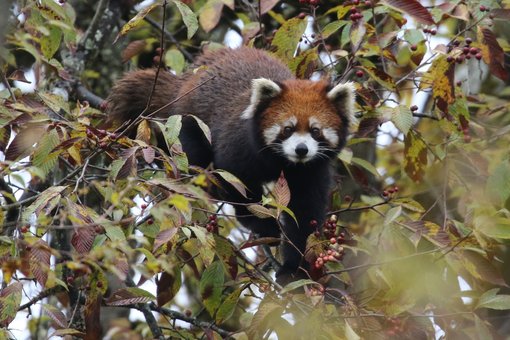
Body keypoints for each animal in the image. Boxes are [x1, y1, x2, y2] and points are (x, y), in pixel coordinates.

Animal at [107, 47, 354, 282]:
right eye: (288, 129)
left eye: (315, 131)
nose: (301, 149)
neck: (282, 161)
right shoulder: (238, 148)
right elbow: (237, 185)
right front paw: (264, 226)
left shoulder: (311, 172)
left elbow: (305, 215)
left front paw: (295, 269)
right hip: (190, 121)